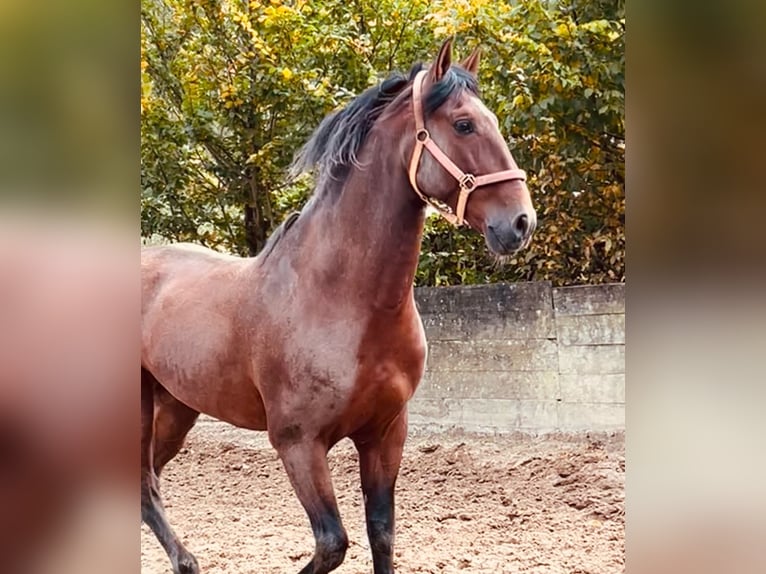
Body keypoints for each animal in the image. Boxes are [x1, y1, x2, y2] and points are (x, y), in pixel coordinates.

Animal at [142, 39, 540, 574]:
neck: (341, 301)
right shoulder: (298, 443)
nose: (520, 223)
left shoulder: (385, 433)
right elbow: (332, 543)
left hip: (176, 407)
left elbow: (381, 534)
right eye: (463, 124)